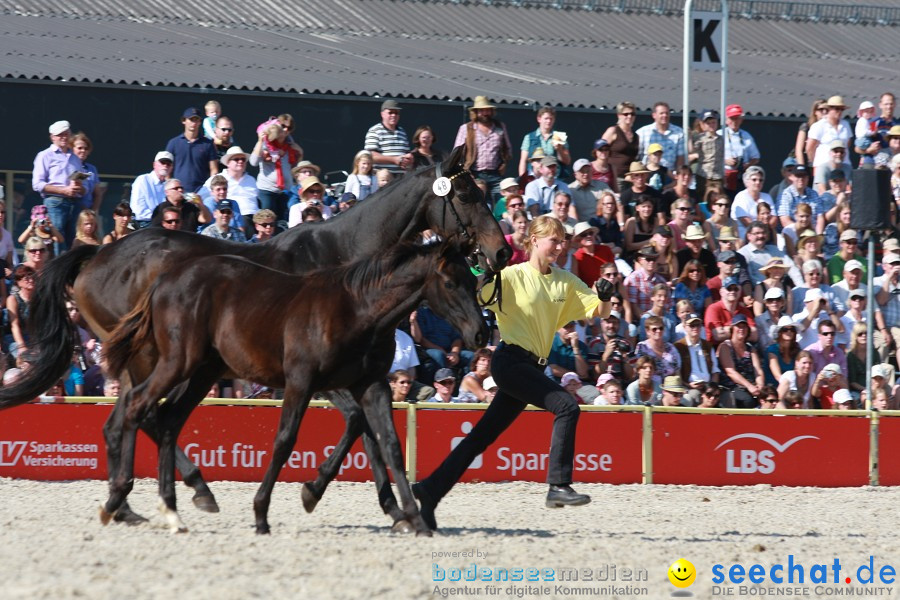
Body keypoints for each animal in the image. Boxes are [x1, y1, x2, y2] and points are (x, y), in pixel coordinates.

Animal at [103, 240, 486, 536]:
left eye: (471, 279)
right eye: (450, 282)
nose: (480, 333)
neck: (357, 310)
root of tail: (162, 281)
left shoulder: (371, 385)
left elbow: (390, 444)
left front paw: (415, 519)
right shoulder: (301, 381)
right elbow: (285, 440)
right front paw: (263, 513)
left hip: (203, 370)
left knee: (169, 418)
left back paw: (172, 509)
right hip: (178, 362)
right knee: (138, 405)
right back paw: (118, 500)